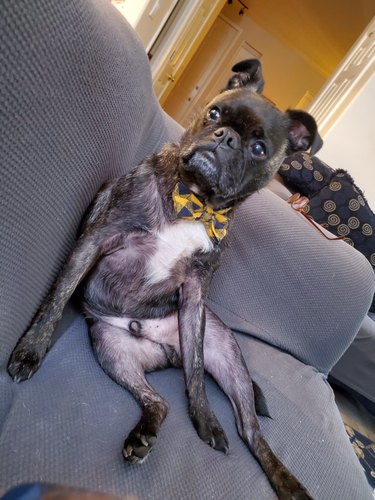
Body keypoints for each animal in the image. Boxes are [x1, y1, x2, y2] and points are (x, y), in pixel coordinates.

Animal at [8, 60, 318, 498]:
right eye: (214, 113)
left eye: (259, 149)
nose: (225, 137)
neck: (196, 202)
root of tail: (165, 352)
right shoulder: (96, 240)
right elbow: (56, 298)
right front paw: (30, 352)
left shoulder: (195, 294)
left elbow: (197, 378)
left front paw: (205, 419)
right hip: (113, 350)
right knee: (160, 401)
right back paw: (141, 437)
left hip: (227, 358)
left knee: (248, 428)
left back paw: (286, 481)